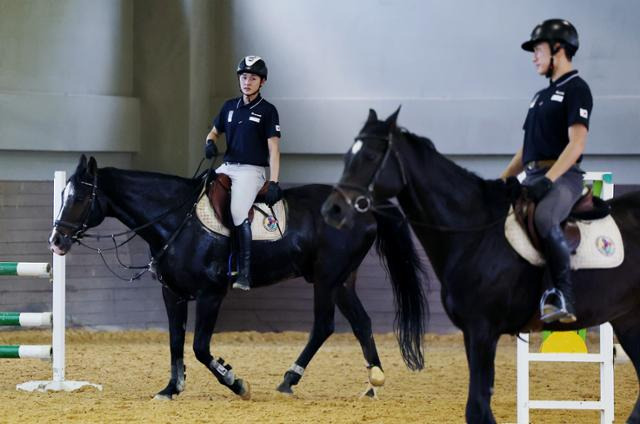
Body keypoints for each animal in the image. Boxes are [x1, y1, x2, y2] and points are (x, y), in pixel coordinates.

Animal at [47, 156, 428, 400]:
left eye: (80, 197)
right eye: (63, 195)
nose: (57, 241)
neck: (176, 221)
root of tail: (364, 206)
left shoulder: (212, 294)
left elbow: (200, 347)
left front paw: (236, 382)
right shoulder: (173, 293)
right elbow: (175, 342)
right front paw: (171, 389)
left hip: (326, 279)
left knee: (324, 325)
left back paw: (290, 380)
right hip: (343, 280)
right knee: (361, 323)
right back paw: (372, 382)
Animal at [322, 107, 640, 422]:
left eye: (370, 156)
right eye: (346, 157)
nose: (332, 209)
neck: (475, 232)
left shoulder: (482, 330)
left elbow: (476, 407)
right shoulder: (471, 332)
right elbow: (479, 406)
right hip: (627, 320)